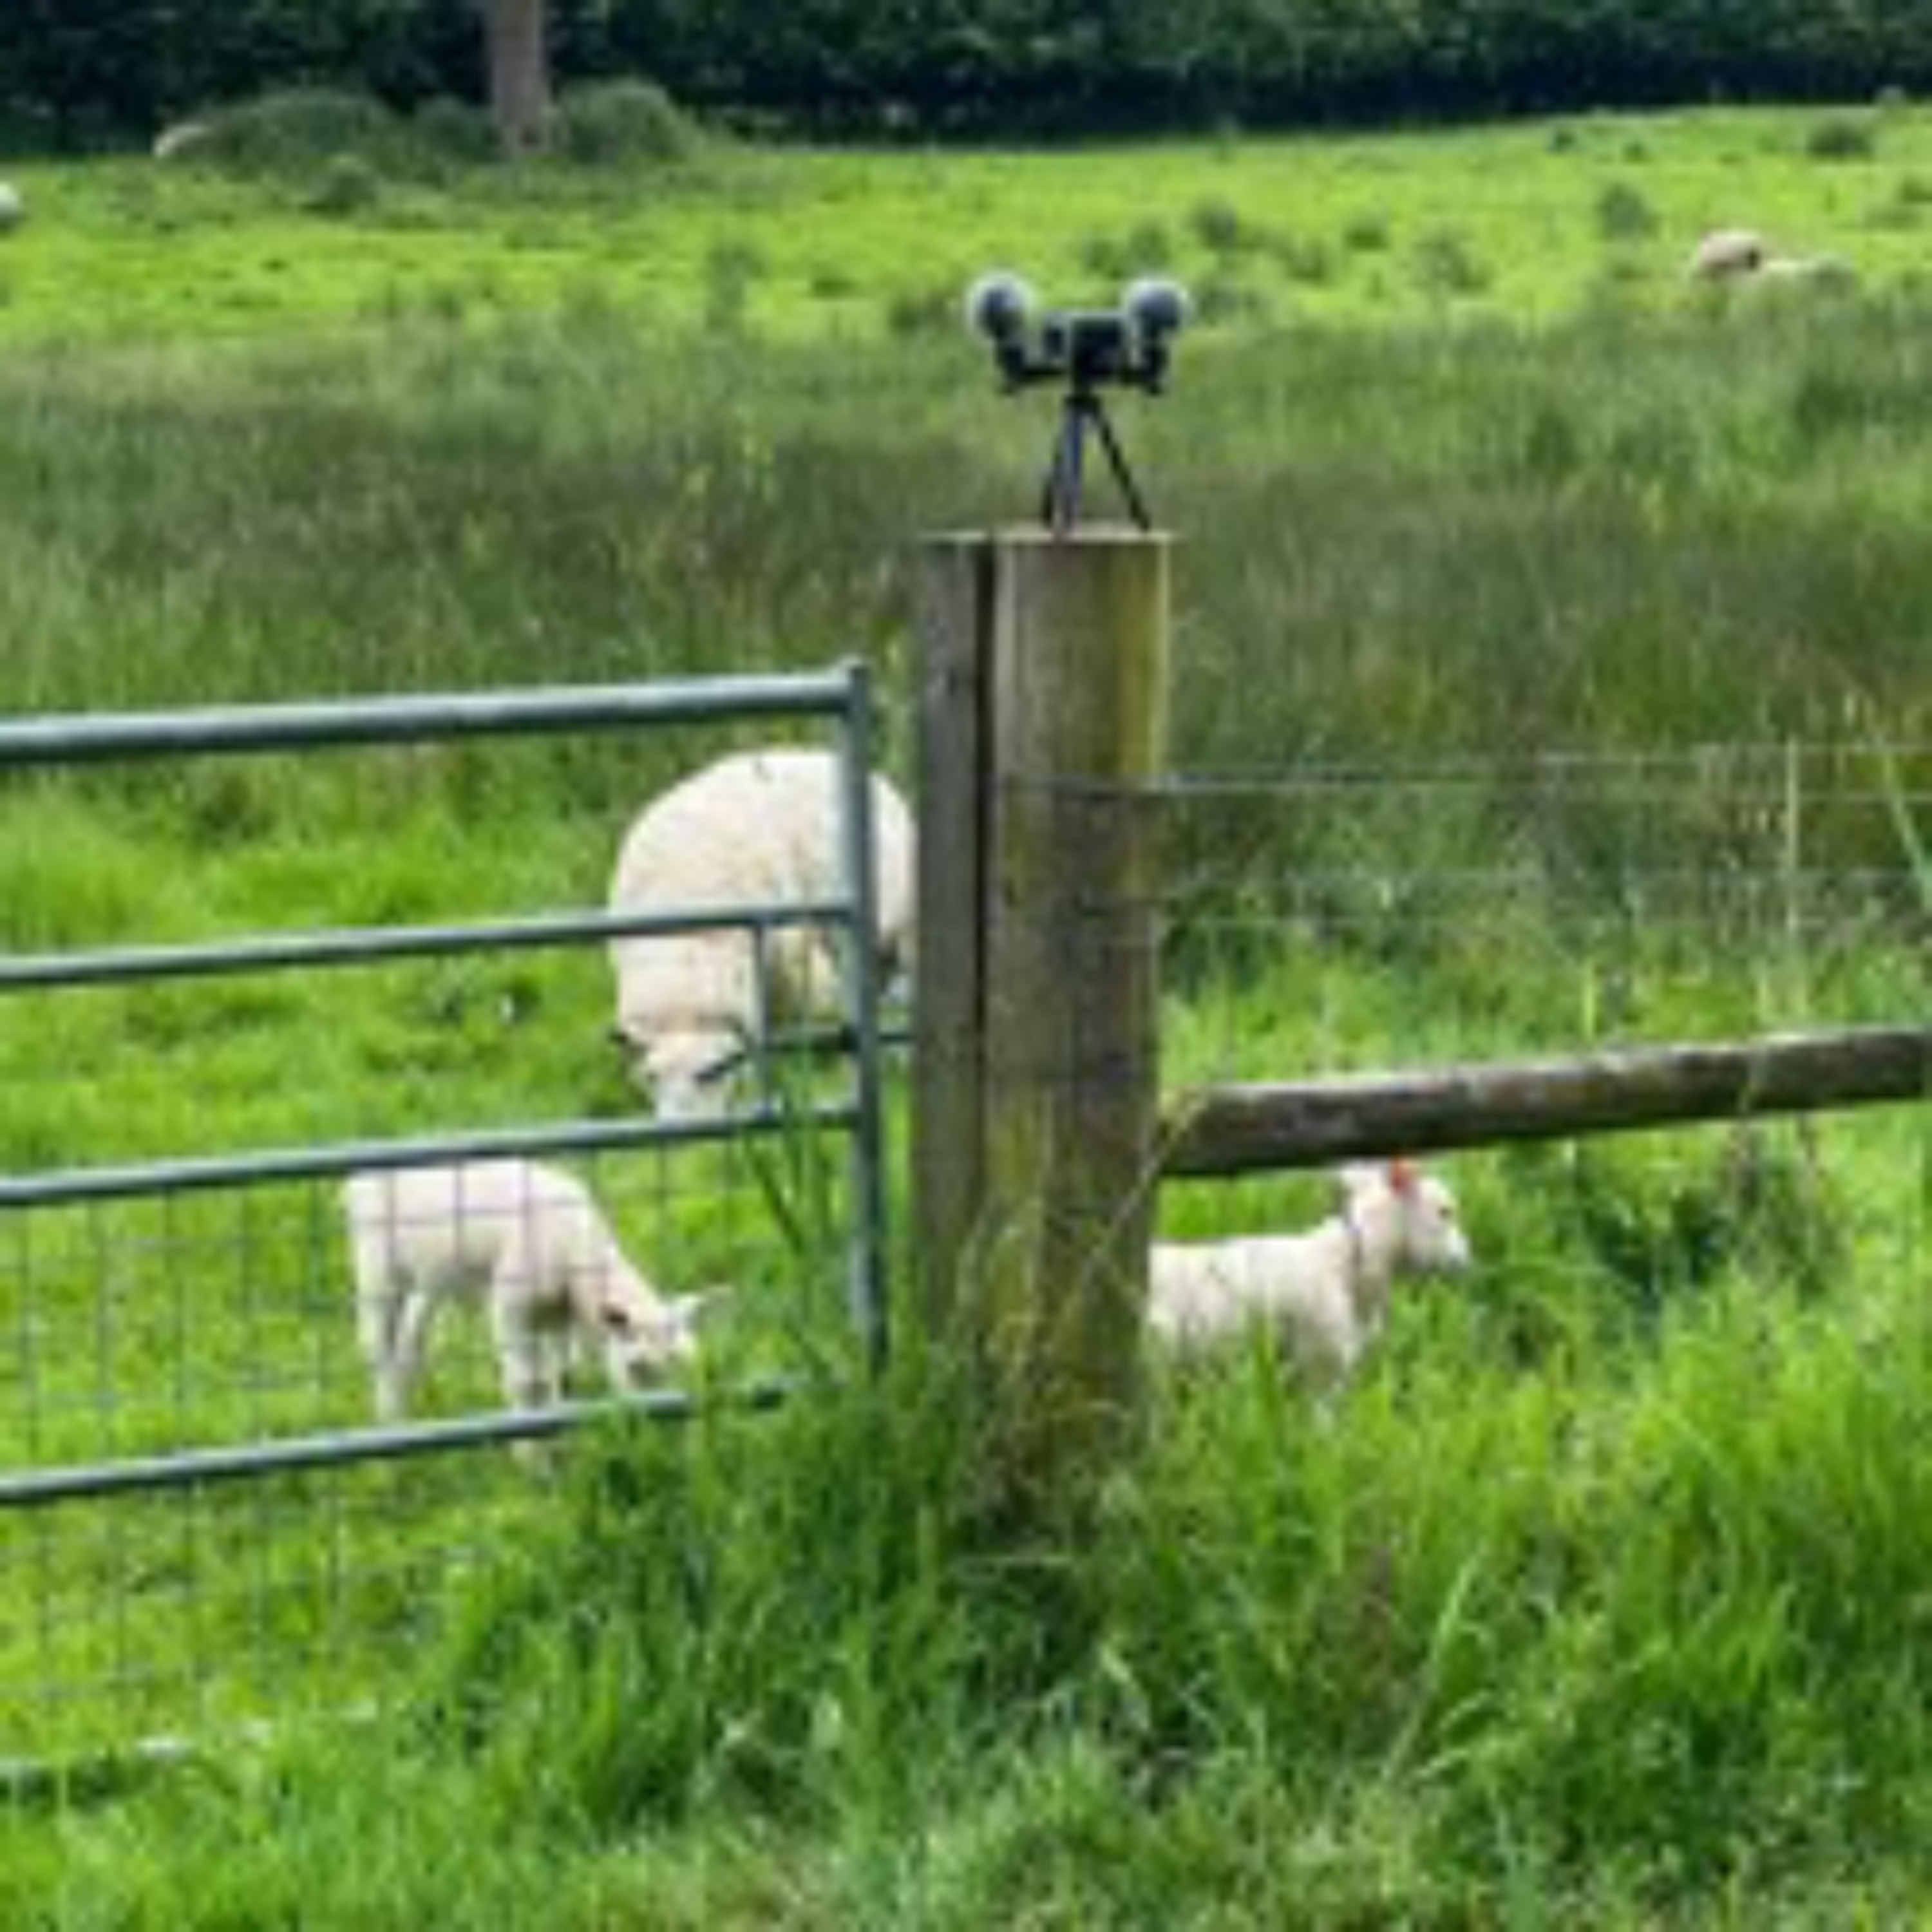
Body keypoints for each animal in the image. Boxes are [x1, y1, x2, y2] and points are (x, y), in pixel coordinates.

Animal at [344, 1157, 714, 1424]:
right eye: (637, 1366)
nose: (656, 1424)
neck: (577, 1250)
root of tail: (359, 1183)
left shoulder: (557, 1313)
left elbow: (562, 1375)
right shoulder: (510, 1306)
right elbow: (525, 1384)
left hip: (429, 1281)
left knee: (409, 1343)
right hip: (377, 1269)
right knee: (375, 1347)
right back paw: (388, 1420)